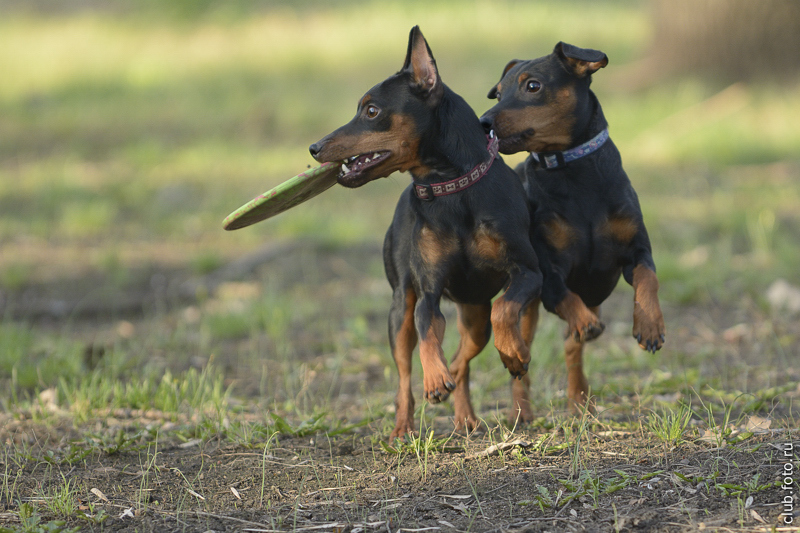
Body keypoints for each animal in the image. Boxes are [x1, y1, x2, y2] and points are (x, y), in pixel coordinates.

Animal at [310, 27, 540, 438]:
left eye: (371, 111)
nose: (315, 147)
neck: (452, 189)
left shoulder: (529, 272)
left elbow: (505, 308)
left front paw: (514, 353)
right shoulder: (429, 290)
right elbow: (427, 333)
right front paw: (433, 377)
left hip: (474, 315)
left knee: (465, 359)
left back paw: (468, 413)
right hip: (399, 307)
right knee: (406, 371)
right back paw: (404, 425)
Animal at [478, 42, 664, 416]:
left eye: (532, 85)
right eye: (499, 92)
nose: (483, 122)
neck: (575, 172)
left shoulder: (636, 251)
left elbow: (648, 278)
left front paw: (650, 325)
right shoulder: (549, 272)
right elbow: (565, 297)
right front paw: (583, 321)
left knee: (570, 347)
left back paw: (579, 398)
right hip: (527, 306)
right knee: (523, 359)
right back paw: (522, 411)